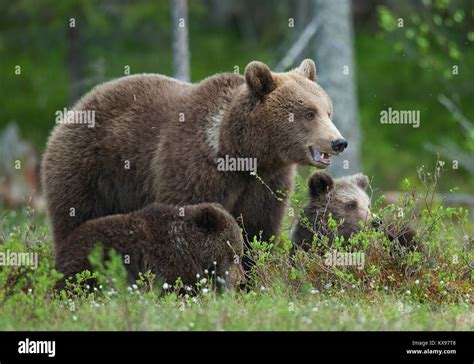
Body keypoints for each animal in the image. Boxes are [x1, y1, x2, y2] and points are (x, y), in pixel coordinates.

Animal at [41, 60, 344, 268]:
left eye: (328, 111)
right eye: (309, 113)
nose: (339, 142)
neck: (241, 153)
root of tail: (76, 108)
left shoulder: (267, 182)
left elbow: (257, 229)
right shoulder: (195, 169)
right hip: (87, 169)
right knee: (75, 217)